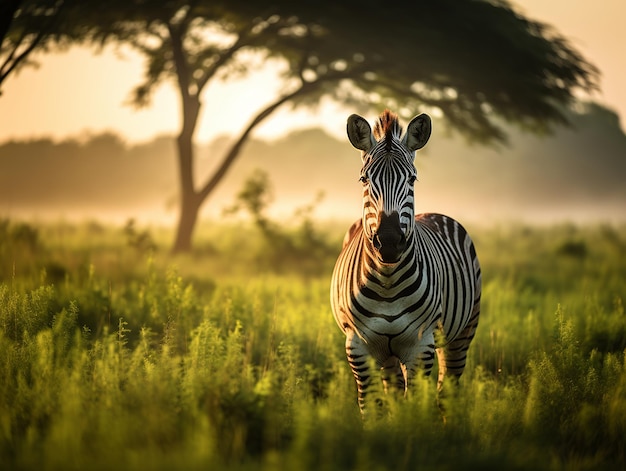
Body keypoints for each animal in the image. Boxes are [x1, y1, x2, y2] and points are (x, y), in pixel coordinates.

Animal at [330, 109, 480, 412]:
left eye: (412, 180)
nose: (388, 241)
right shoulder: (358, 346)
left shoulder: (421, 345)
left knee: (447, 391)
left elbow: (415, 408)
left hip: (462, 332)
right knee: (394, 390)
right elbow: (372, 406)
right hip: (387, 354)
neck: (387, 281)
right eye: (364, 180)